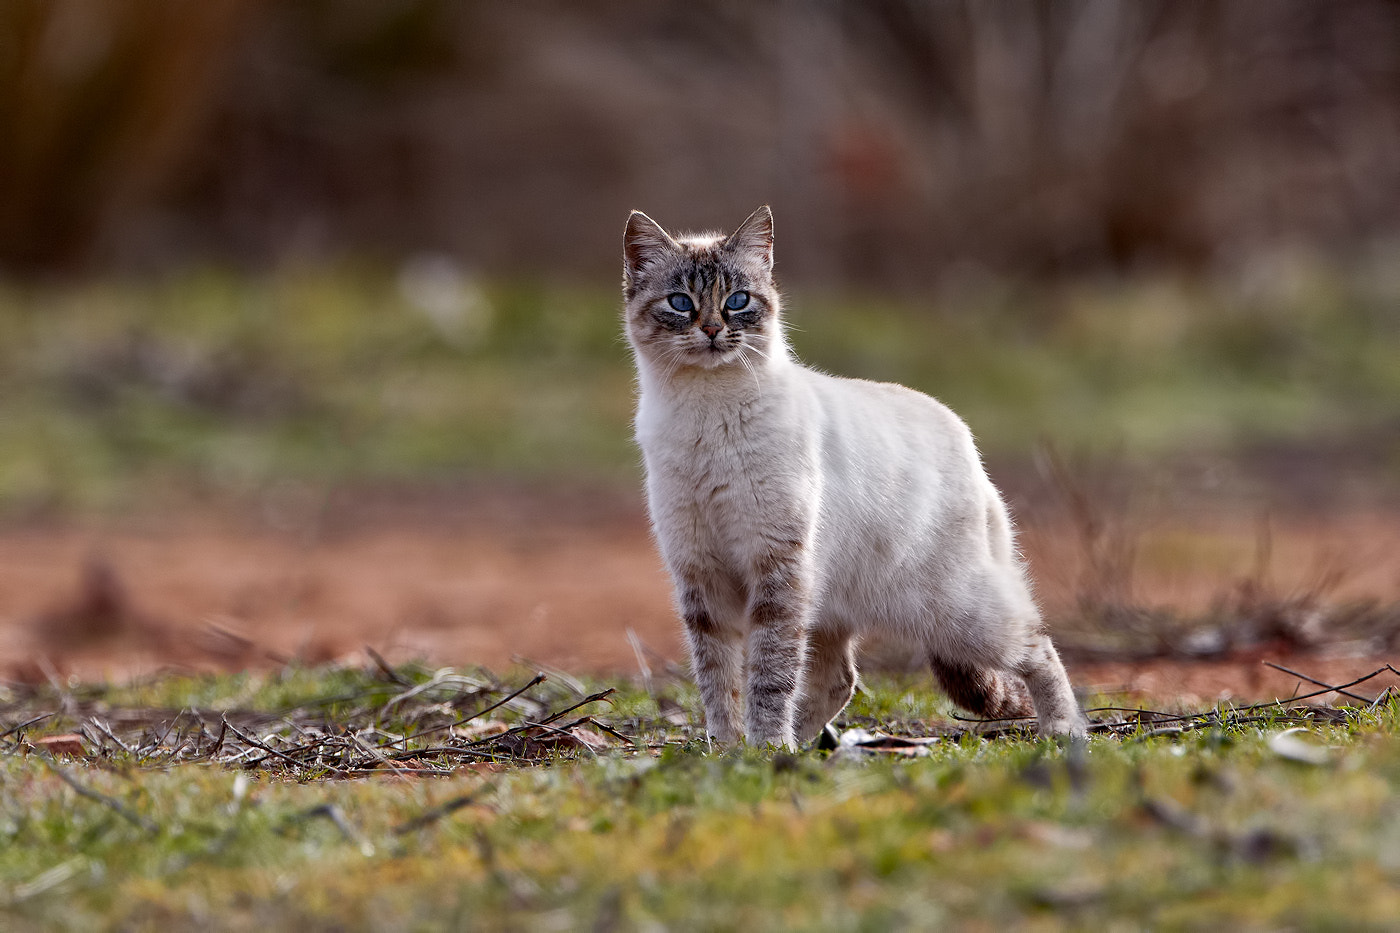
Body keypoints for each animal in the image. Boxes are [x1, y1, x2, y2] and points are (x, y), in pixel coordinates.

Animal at [618, 205, 1086, 750]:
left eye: (738, 302)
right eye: (681, 303)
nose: (714, 330)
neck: (706, 412)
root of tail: (968, 443)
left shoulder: (774, 568)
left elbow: (768, 675)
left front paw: (764, 746)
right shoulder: (701, 575)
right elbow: (718, 681)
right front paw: (731, 749)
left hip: (955, 611)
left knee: (1040, 645)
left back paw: (1064, 730)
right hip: (831, 603)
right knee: (839, 680)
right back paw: (800, 747)